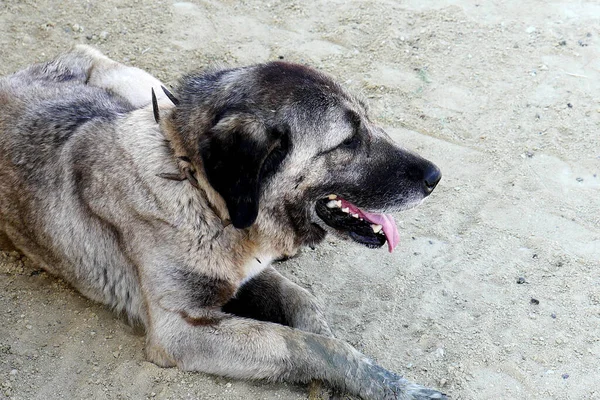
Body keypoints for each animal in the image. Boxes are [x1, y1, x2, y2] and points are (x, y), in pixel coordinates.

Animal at [1, 47, 446, 400]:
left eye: (368, 122)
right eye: (347, 141)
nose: (435, 176)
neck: (199, 191)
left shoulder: (248, 271)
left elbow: (305, 305)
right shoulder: (181, 330)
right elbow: (303, 344)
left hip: (145, 91)